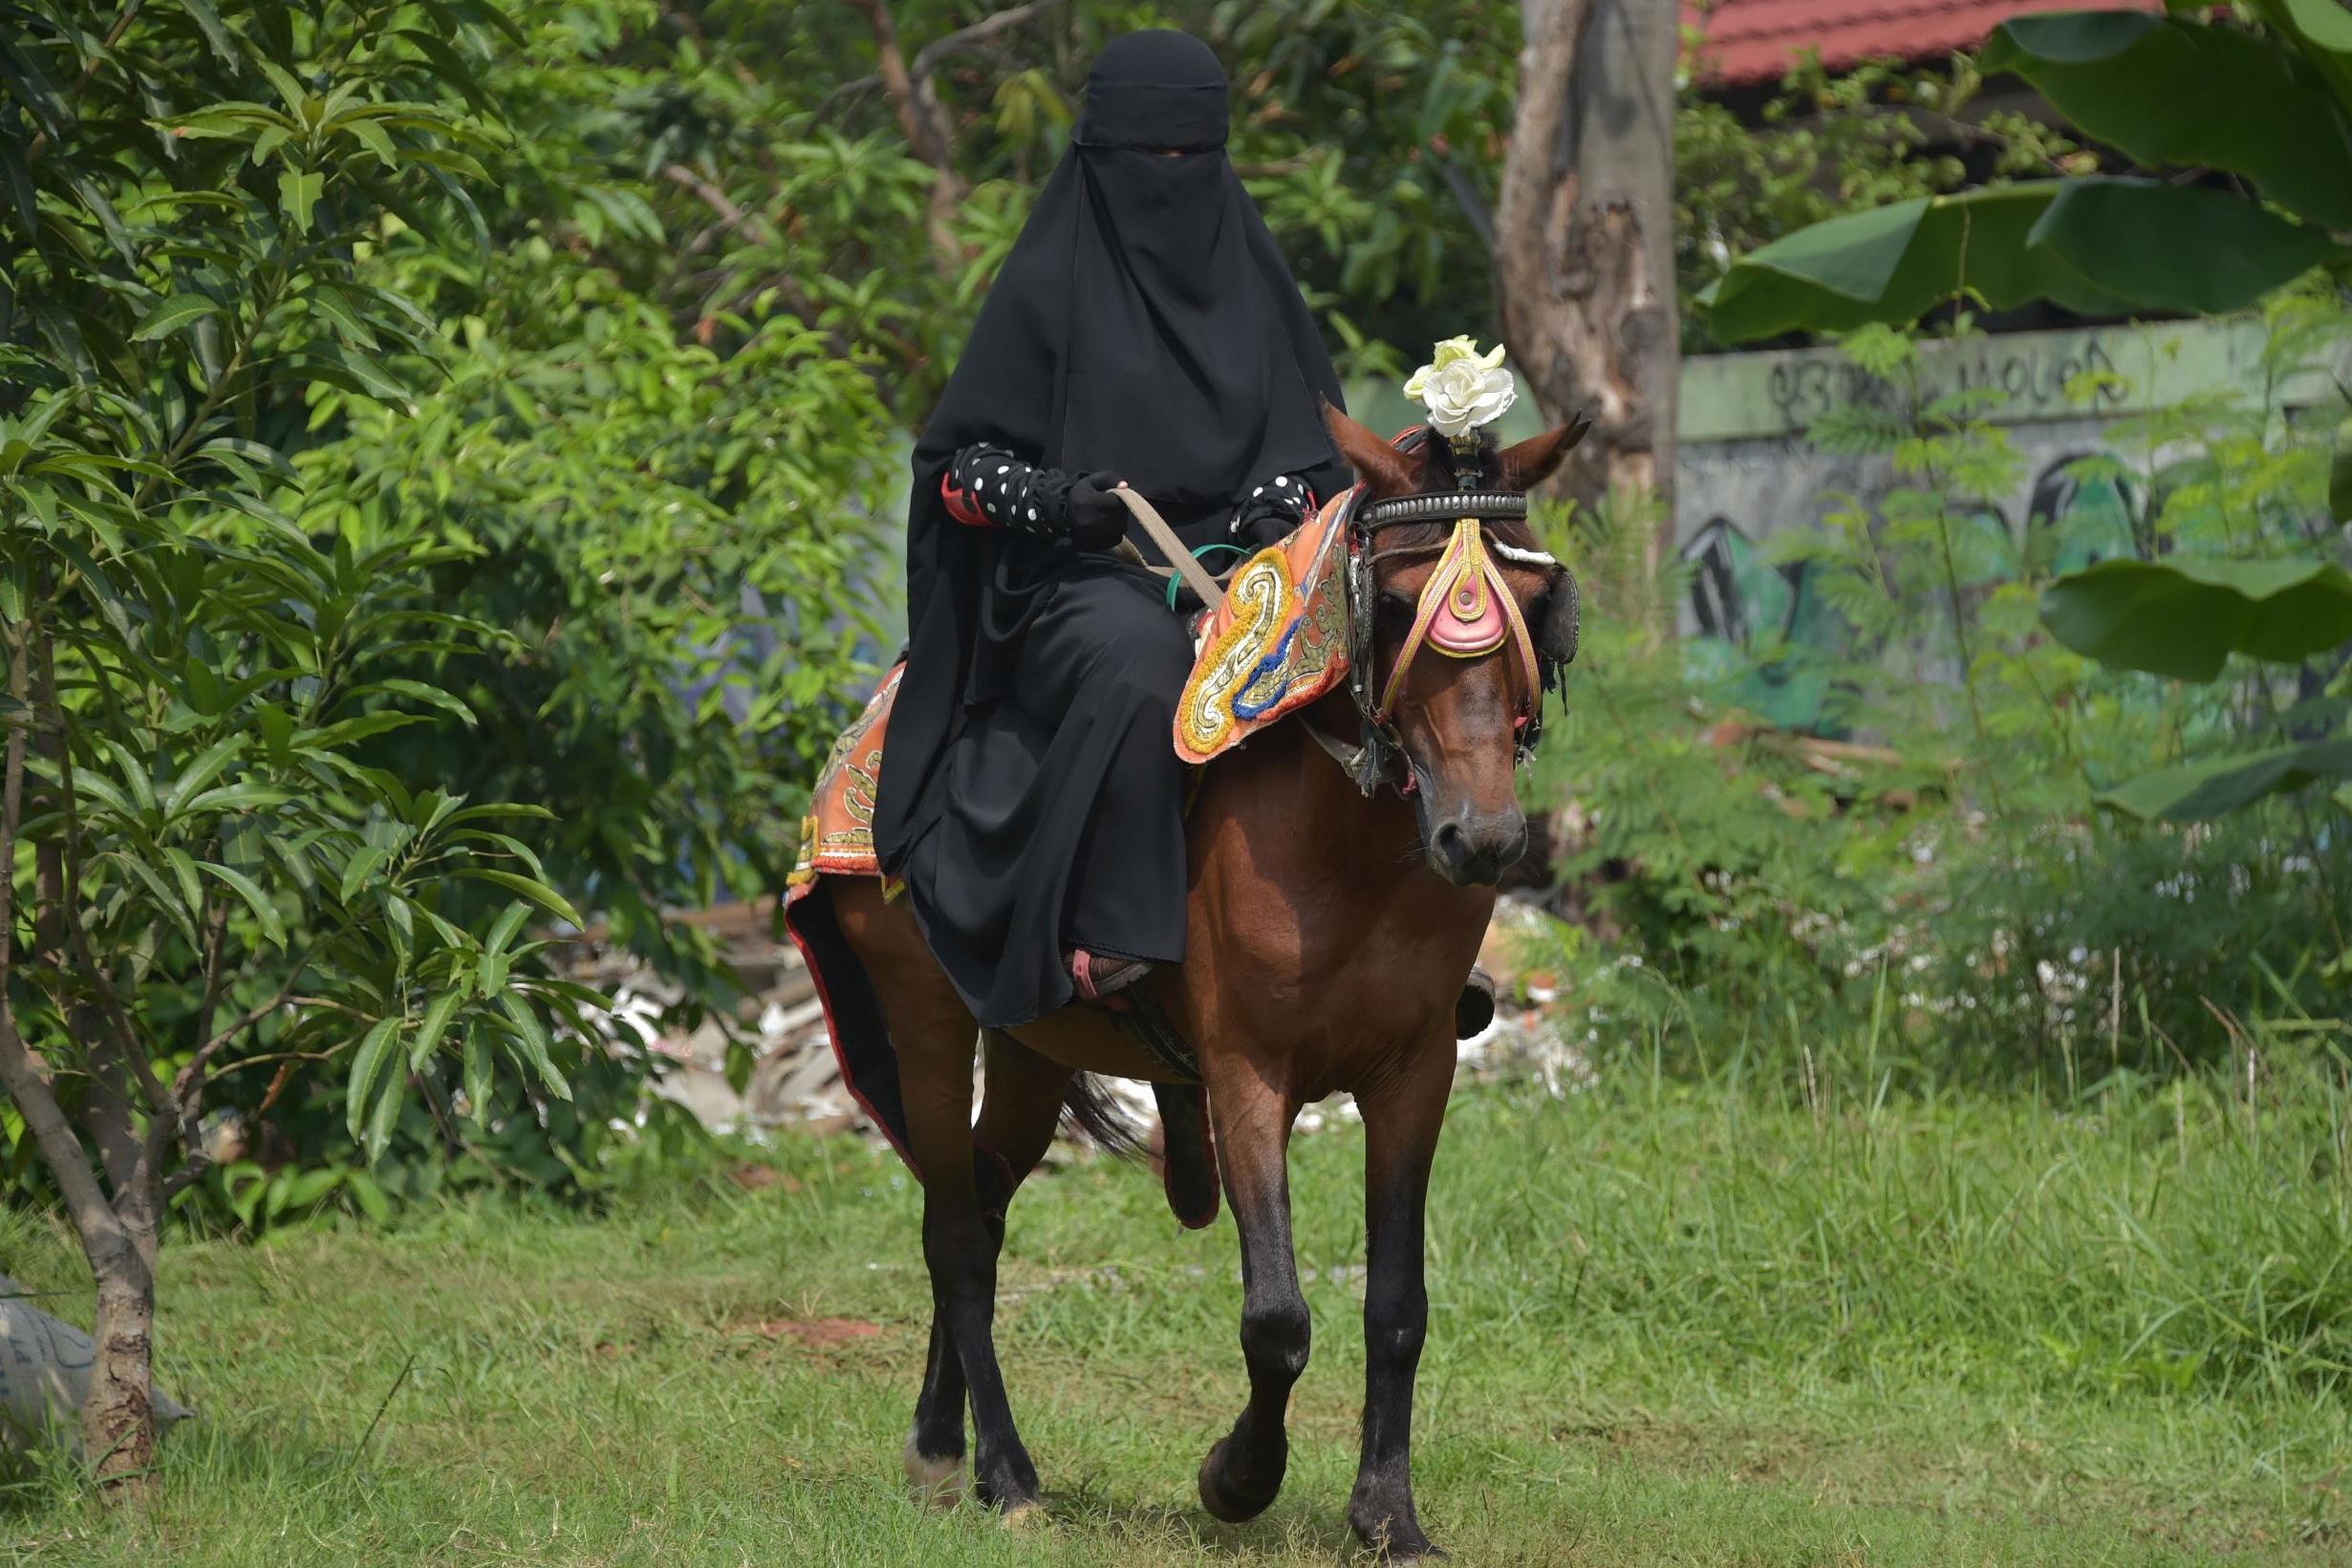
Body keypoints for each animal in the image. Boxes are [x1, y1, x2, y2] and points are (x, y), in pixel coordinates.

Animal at [785, 404, 1580, 1560]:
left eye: (1532, 605)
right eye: (1393, 603)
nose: (1480, 839)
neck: (1348, 849)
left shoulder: (1416, 1070)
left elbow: (1397, 1306)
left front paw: (1389, 1515)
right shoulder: (1247, 1072)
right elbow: (1278, 1318)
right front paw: (1236, 1478)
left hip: (1026, 1044)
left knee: (977, 1197)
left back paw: (942, 1448)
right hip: (924, 1018)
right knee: (955, 1235)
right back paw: (1004, 1473)